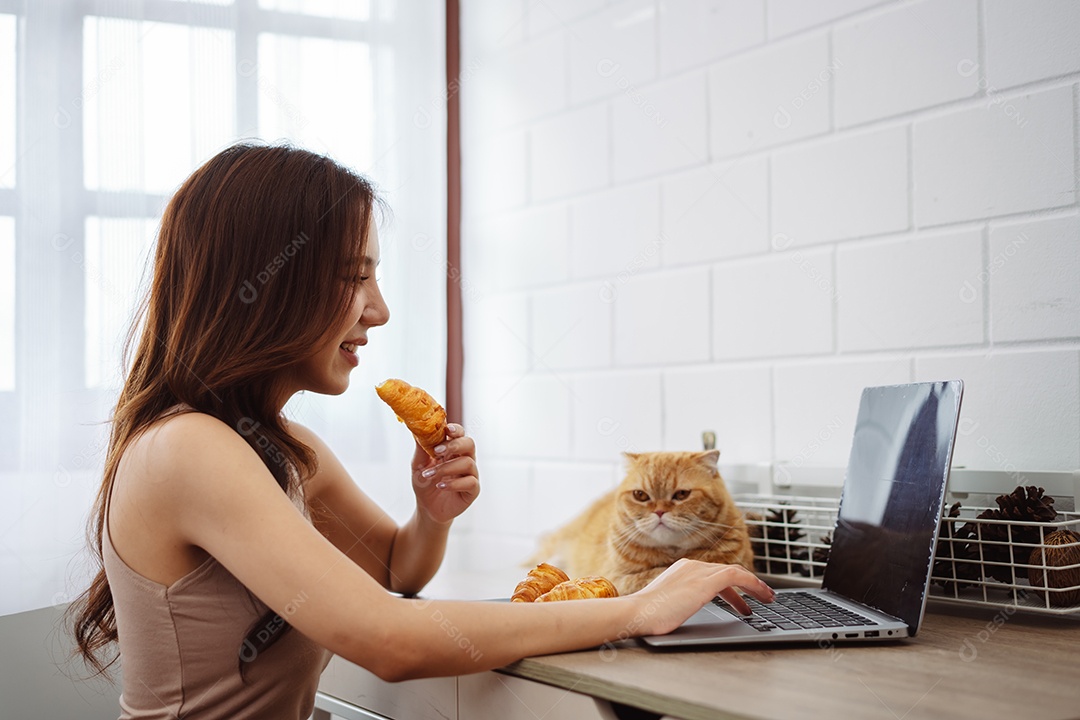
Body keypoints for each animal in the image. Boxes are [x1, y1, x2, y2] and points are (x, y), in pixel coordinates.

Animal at [535, 451, 756, 595]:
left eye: (682, 494)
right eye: (640, 495)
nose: (659, 511)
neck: (673, 552)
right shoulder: (615, 578)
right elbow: (652, 575)